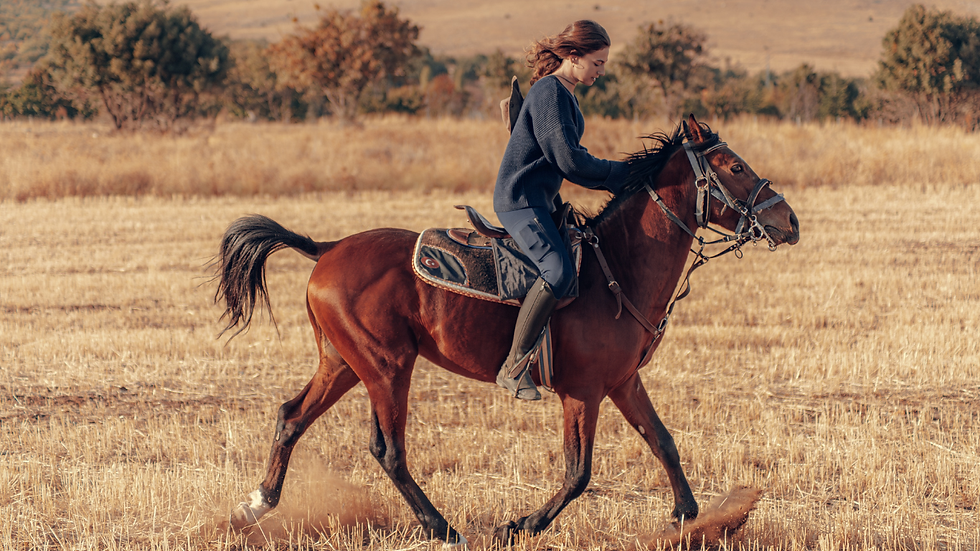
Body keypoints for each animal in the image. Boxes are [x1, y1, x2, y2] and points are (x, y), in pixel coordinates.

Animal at [214, 115, 799, 547]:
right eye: (735, 166)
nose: (789, 222)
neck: (618, 266)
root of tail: (328, 247)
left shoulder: (623, 383)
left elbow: (664, 442)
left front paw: (693, 518)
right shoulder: (583, 392)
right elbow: (578, 472)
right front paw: (519, 525)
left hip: (342, 363)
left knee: (292, 417)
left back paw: (253, 507)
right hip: (386, 367)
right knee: (389, 450)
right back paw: (443, 528)